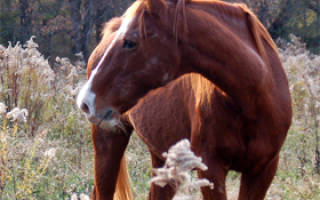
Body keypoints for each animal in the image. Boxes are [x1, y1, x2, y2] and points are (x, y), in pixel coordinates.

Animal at [77, 0, 292, 200]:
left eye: (130, 42)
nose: (86, 101)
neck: (253, 98)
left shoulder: (263, 171)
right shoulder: (211, 170)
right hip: (108, 142)